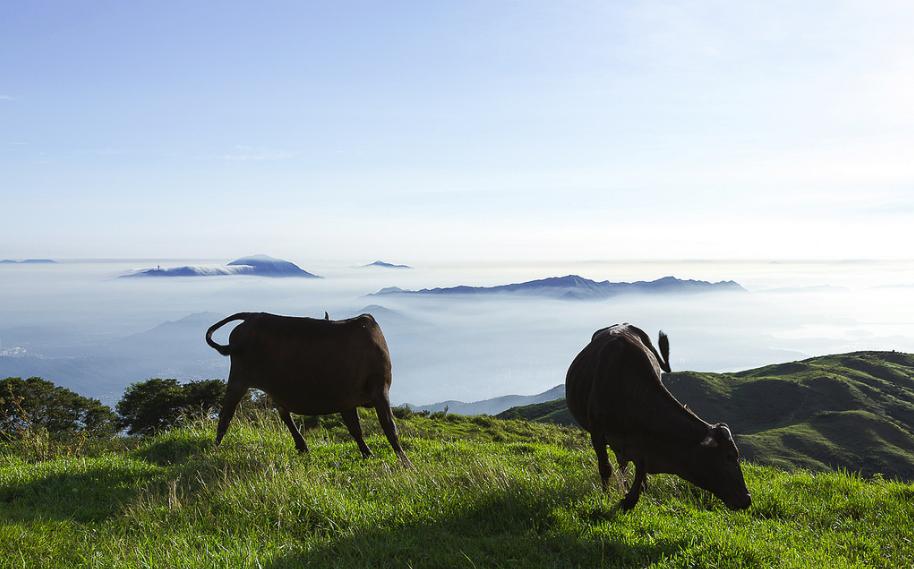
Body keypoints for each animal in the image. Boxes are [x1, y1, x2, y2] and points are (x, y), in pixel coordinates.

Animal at [207, 312, 410, 464]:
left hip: (273, 386)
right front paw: (406, 463)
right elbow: (390, 427)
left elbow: (356, 429)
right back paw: (215, 447)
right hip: (239, 379)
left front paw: (368, 453)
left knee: (284, 414)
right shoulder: (379, 390)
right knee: (226, 415)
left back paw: (302, 446)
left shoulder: (347, 399)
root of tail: (251, 317)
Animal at [564, 324, 748, 510]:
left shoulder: (642, 442)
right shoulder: (597, 433)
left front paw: (631, 497)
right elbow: (606, 467)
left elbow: (640, 467)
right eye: (729, 456)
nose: (747, 498)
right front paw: (607, 496)